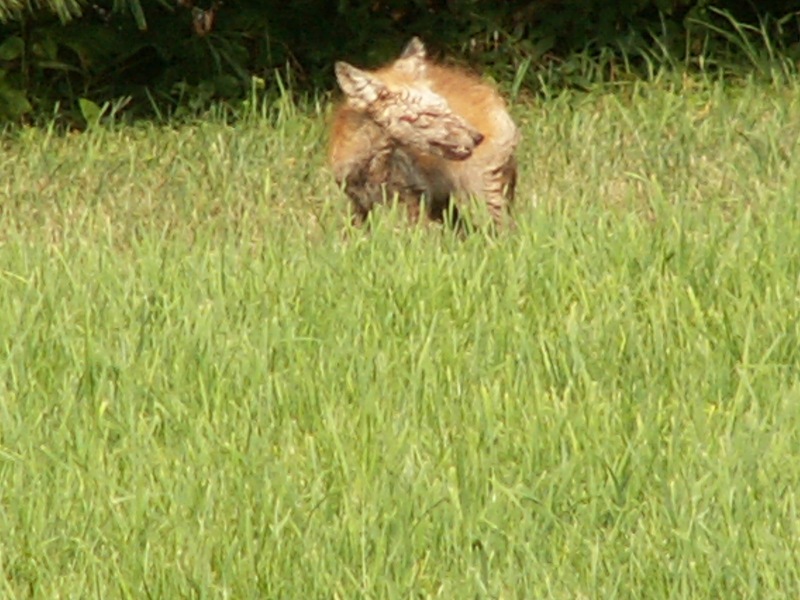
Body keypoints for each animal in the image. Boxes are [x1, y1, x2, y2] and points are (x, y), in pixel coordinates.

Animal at [329, 37, 520, 229]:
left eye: (446, 107)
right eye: (429, 114)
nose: (478, 137)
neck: (374, 169)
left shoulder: (414, 199)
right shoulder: (359, 203)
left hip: (480, 194)